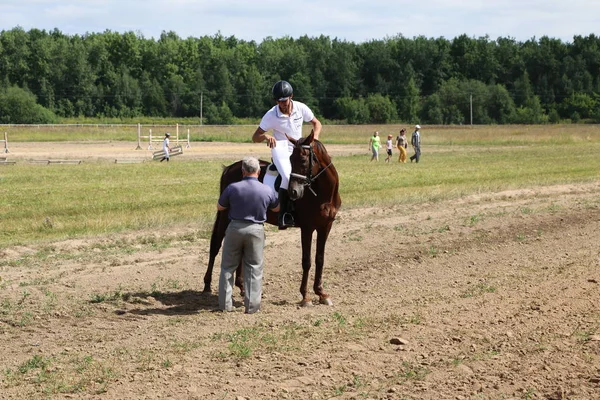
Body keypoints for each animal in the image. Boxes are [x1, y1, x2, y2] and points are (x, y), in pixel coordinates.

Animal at [203, 131, 340, 306]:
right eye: (290, 160)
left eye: (303, 160)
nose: (293, 192)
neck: (323, 194)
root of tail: (230, 168)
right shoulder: (307, 228)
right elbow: (307, 261)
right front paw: (305, 296)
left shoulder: (325, 226)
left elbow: (320, 259)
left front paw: (321, 293)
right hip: (225, 217)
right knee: (215, 245)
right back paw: (207, 285)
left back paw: (241, 287)